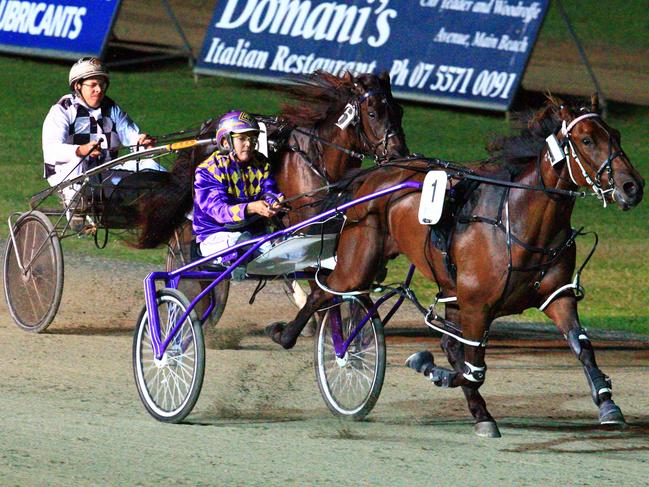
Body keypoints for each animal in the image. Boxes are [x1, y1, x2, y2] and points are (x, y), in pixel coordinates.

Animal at [268, 96, 644, 438]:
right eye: (587, 140)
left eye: (616, 134)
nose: (632, 187)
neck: (518, 220)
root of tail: (376, 174)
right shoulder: (477, 306)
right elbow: (472, 369)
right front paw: (430, 369)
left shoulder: (556, 296)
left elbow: (582, 346)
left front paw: (607, 402)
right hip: (358, 261)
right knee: (325, 292)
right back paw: (295, 337)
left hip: (442, 288)